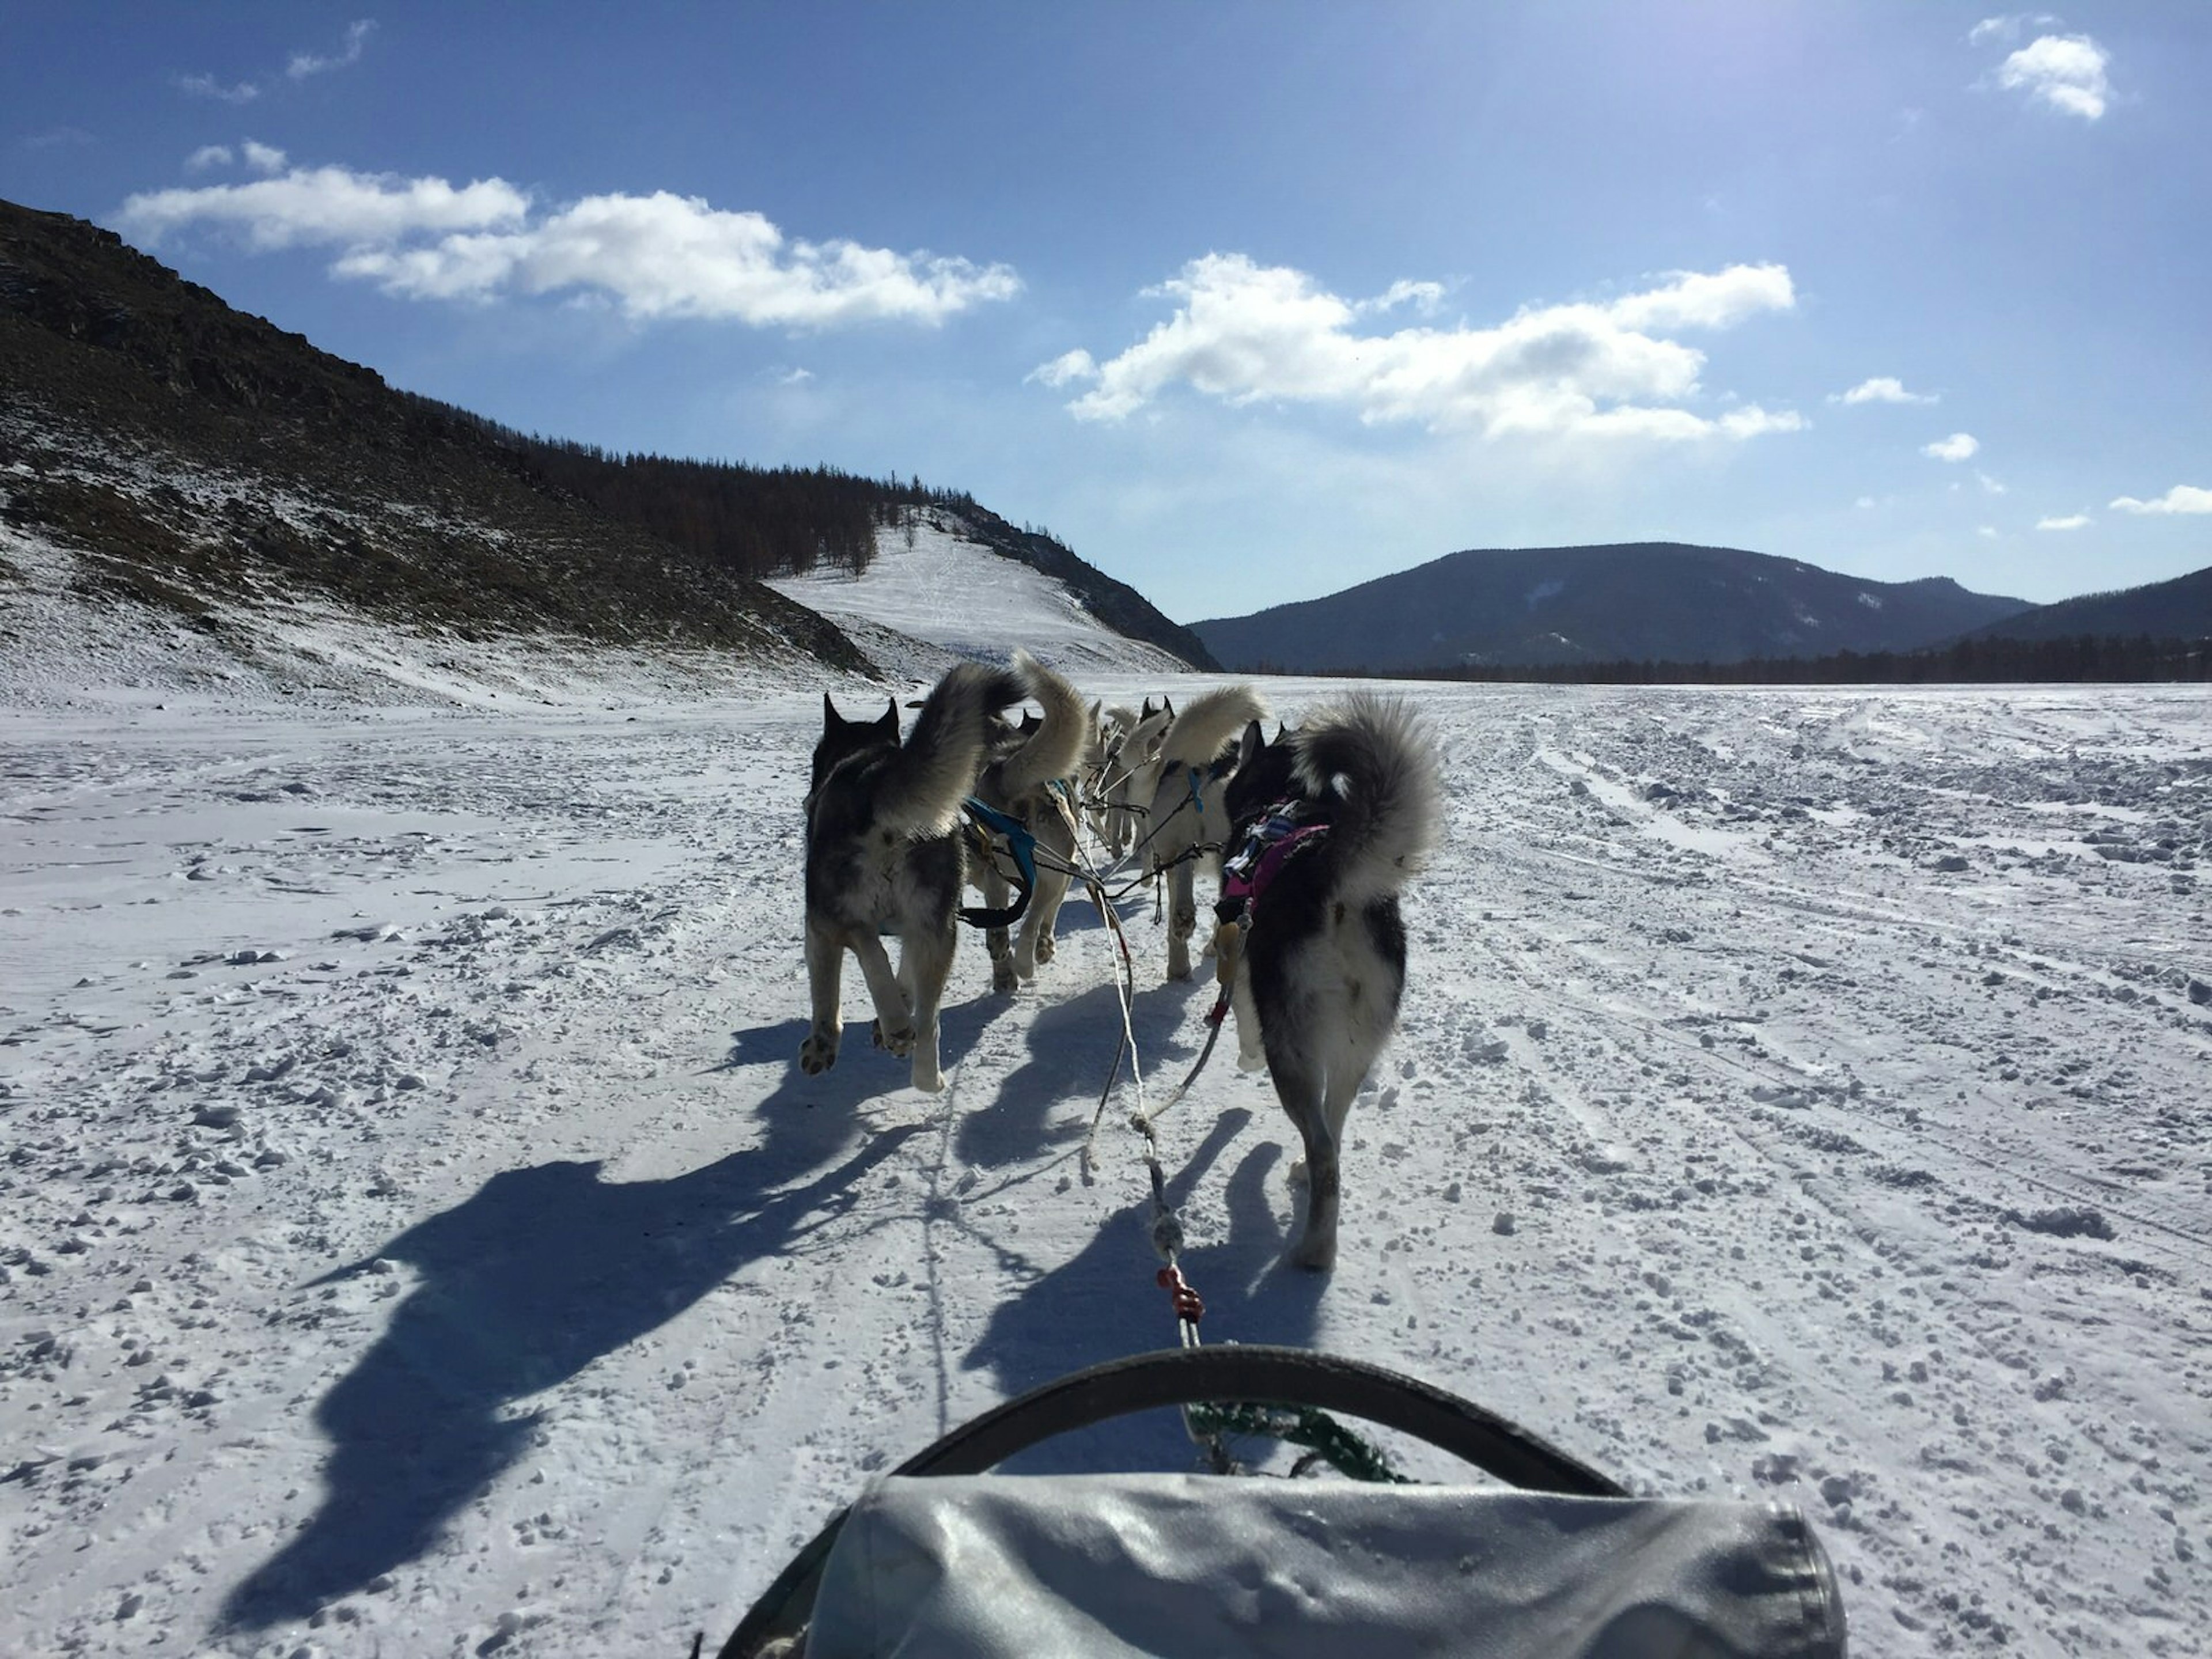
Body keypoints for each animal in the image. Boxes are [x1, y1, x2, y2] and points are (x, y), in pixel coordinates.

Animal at [805, 654, 1026, 1097]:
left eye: (814, 761)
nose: (807, 799)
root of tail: (877, 779)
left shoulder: (816, 924)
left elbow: (825, 994)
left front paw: (823, 1043)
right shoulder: (922, 927)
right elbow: (906, 975)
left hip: (834, 906)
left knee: (865, 941)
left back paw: (893, 1022)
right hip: (938, 929)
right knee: (929, 1020)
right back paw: (923, 1065)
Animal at [1221, 690, 1442, 1274]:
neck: (1283, 799)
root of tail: (1326, 875)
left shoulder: (1240, 958)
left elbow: (1240, 1017)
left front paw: (1244, 1057)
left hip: (1295, 1051)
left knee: (1323, 1147)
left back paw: (1315, 1251)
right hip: (1353, 1049)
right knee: (1334, 1131)